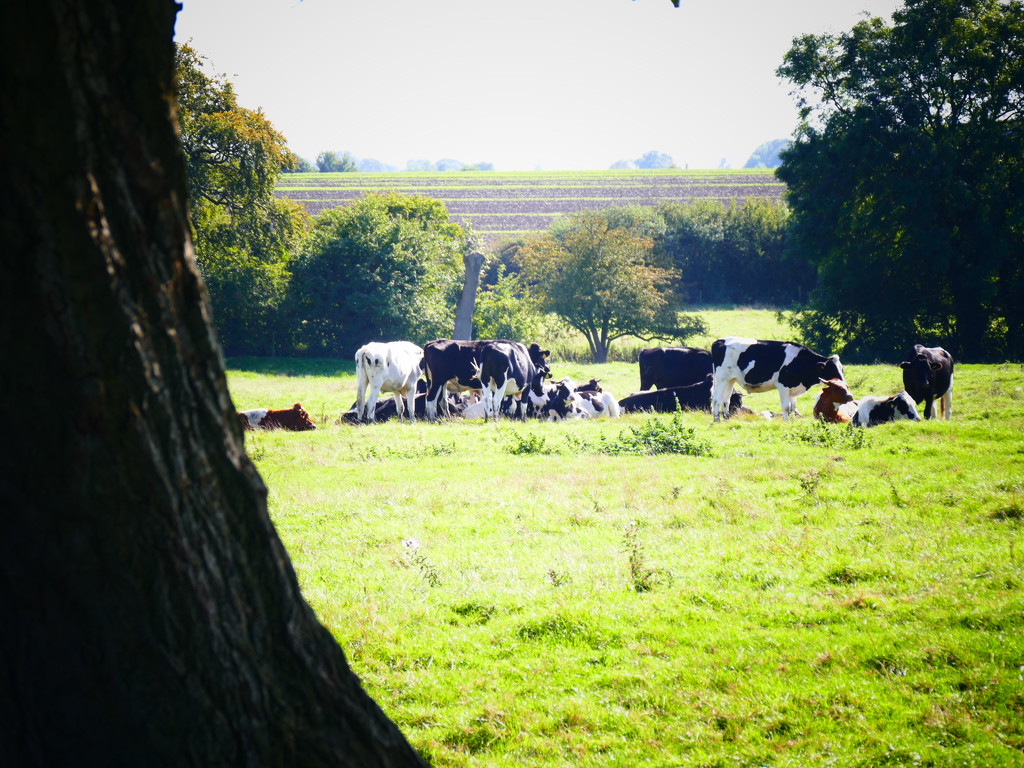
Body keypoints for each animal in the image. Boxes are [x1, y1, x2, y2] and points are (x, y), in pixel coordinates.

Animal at [712, 335, 847, 421]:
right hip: (721, 378)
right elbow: (786, 406)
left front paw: (792, 421)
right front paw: (786, 421)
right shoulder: (783, 386)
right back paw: (716, 419)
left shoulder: (793, 387)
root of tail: (720, 340)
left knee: (726, 400)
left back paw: (726, 419)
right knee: (716, 398)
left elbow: (793, 408)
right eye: (831, 369)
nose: (843, 383)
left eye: (842, 369)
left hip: (730, 379)